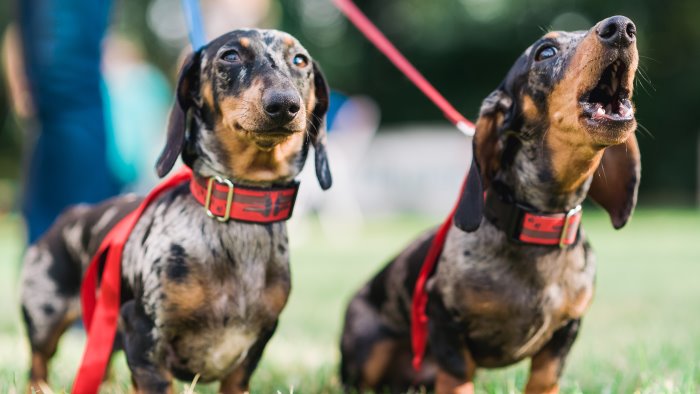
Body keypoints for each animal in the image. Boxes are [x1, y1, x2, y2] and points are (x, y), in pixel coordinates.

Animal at [19, 28, 330, 394]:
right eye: (230, 55)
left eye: (300, 60)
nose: (284, 104)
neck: (237, 217)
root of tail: (69, 213)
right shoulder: (143, 331)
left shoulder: (253, 350)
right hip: (45, 317)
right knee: (38, 361)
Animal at [342, 16, 644, 394]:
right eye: (545, 52)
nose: (621, 27)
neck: (537, 228)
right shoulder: (442, 316)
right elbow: (458, 376)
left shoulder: (566, 331)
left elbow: (545, 378)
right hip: (369, 351)